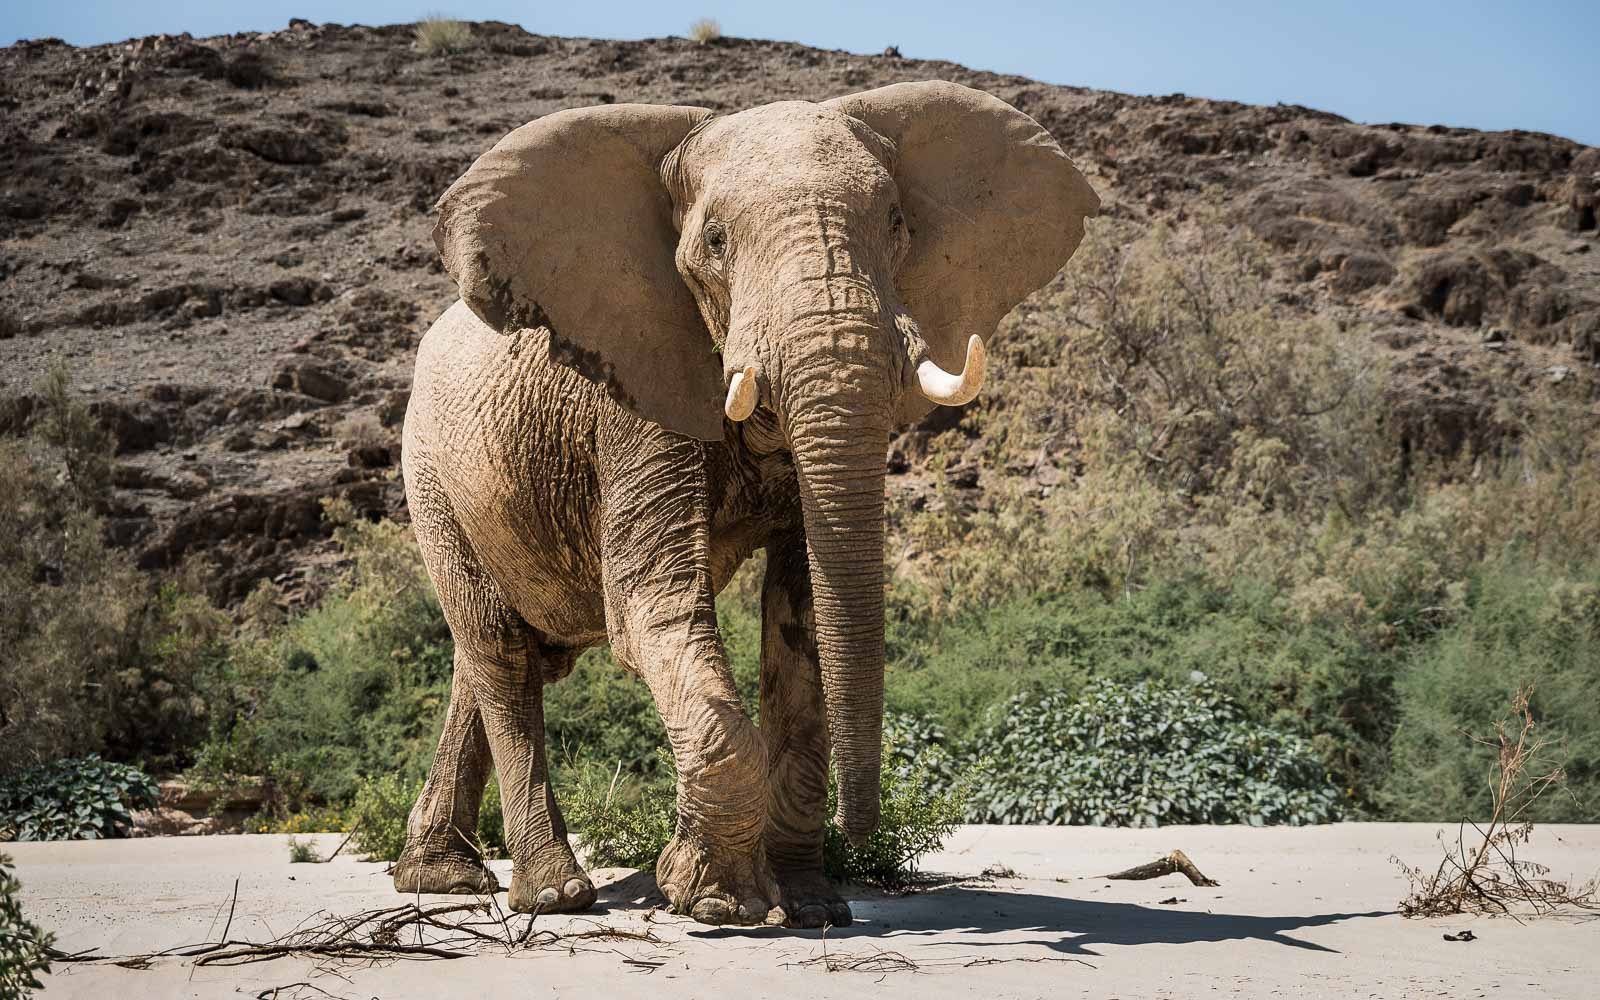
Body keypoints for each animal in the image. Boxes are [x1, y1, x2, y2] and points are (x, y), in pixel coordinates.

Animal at [389, 80, 1099, 928]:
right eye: (717, 241)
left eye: (898, 223)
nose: (864, 837)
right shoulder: (635, 392)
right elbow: (656, 607)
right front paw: (713, 900)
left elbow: (803, 616)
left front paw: (812, 907)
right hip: (431, 474)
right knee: (499, 651)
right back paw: (556, 894)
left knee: (493, 658)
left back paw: (443, 879)